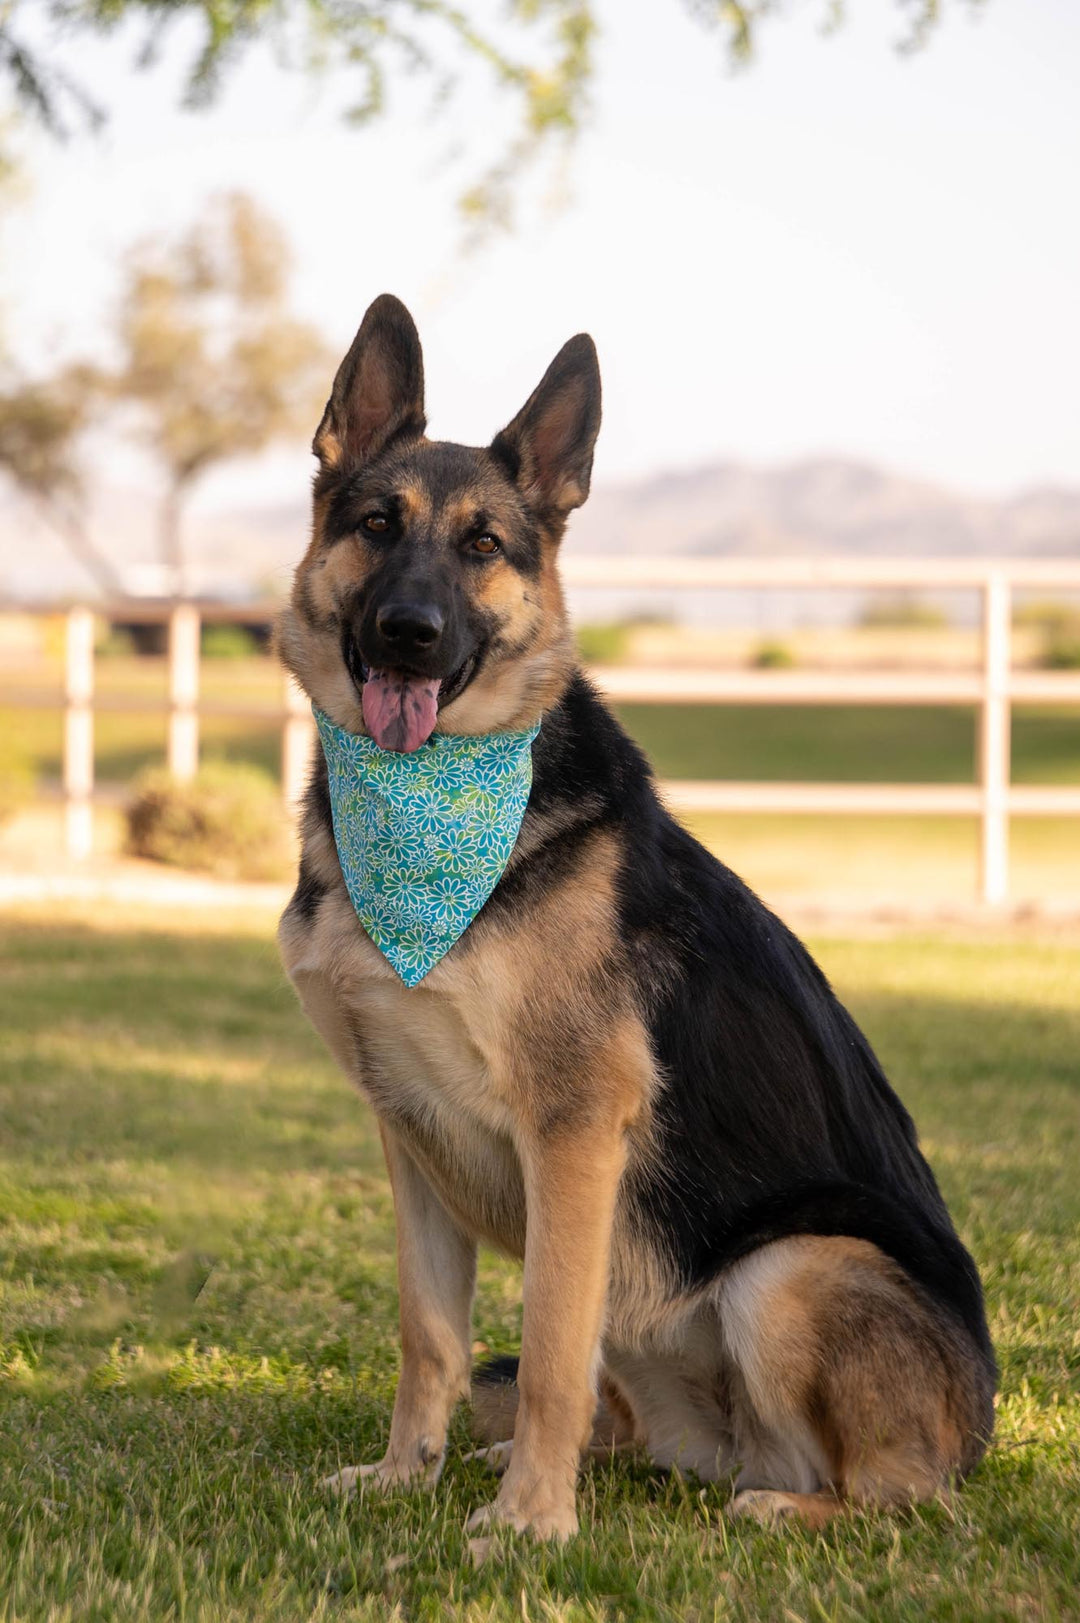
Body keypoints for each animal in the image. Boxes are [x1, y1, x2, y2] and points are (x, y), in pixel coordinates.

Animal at [276, 295, 993, 1545]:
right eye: (375, 524)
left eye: (483, 546)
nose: (411, 631)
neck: (435, 811)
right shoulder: (408, 1133)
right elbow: (431, 1338)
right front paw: (406, 1476)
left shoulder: (572, 1128)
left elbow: (555, 1345)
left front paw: (528, 1527)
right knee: (601, 1414)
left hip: (792, 1268)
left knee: (894, 1495)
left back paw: (778, 1505)